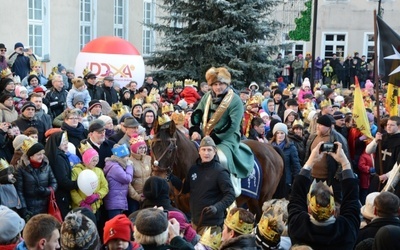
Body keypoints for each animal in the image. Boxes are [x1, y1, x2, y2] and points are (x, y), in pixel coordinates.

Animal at [150, 120, 284, 220]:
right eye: (152, 147)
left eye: (170, 150)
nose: (157, 176)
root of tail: (271, 149)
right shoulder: (182, 208)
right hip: (253, 201)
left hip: (263, 199)